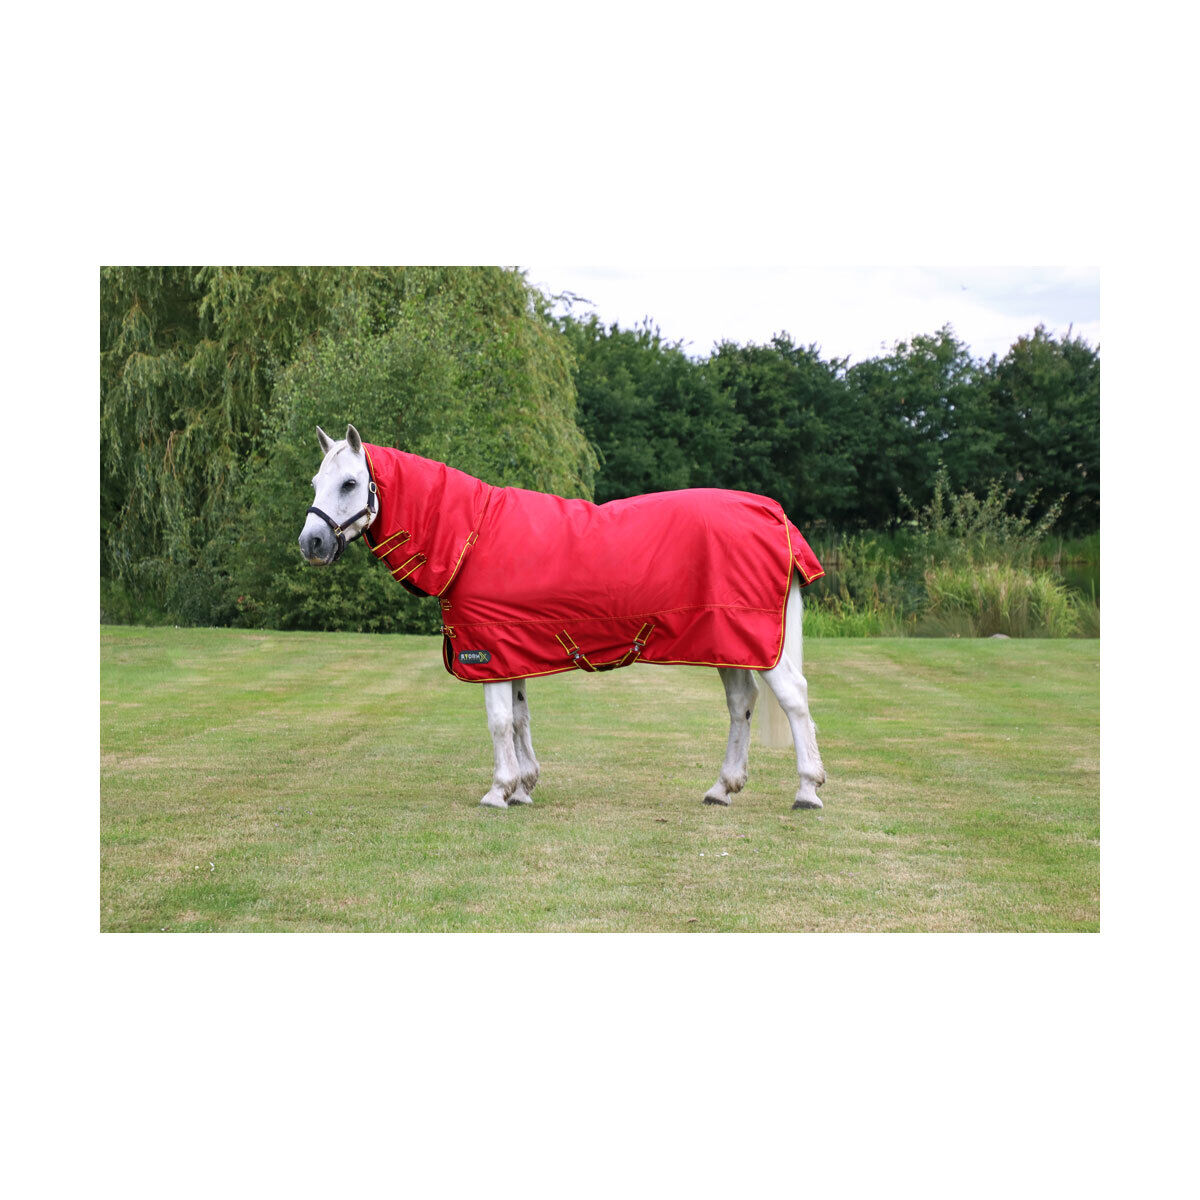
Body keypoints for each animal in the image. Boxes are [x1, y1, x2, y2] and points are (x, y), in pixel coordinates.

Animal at [298, 424, 826, 811]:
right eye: (316, 483)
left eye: (350, 483)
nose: (311, 543)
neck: (470, 535)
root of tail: (774, 514)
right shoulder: (511, 649)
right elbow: (519, 718)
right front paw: (524, 786)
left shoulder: (487, 649)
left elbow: (498, 720)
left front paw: (499, 790)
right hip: (728, 641)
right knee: (741, 703)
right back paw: (722, 788)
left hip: (756, 639)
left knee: (794, 698)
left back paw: (807, 790)